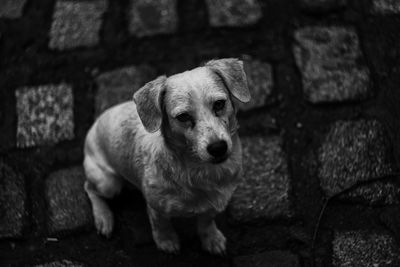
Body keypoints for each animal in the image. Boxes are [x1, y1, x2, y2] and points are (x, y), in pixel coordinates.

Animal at [83, 58, 250, 255]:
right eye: (183, 116)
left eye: (219, 104)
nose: (218, 148)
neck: (200, 171)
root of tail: (96, 123)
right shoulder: (156, 208)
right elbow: (161, 225)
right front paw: (166, 241)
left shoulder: (212, 206)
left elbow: (206, 222)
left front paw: (211, 238)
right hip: (108, 183)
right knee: (90, 188)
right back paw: (104, 218)